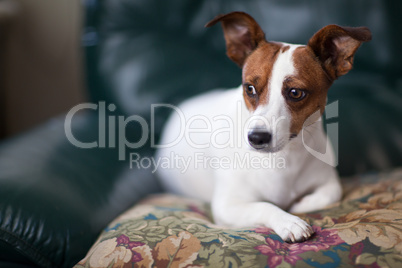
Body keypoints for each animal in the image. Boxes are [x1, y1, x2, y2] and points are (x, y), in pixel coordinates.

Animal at [155, 12, 372, 243]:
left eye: (296, 93)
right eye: (249, 88)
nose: (257, 138)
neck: (285, 157)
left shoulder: (329, 182)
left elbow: (331, 194)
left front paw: (298, 205)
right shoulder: (227, 206)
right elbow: (264, 205)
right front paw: (288, 220)